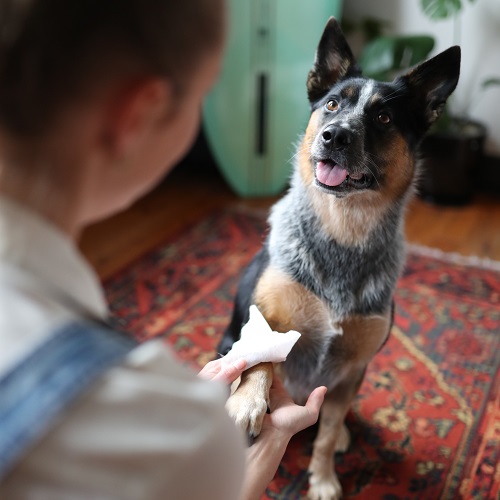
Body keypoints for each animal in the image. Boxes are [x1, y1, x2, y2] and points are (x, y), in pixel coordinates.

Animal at [217, 17, 458, 498]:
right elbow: (260, 355)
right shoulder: (261, 316)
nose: (335, 135)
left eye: (384, 117)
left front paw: (324, 477)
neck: (343, 234)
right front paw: (247, 403)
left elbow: (326, 432)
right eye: (331, 104)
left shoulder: (352, 370)